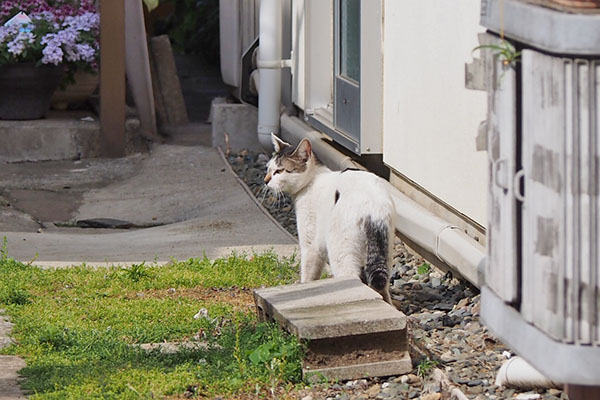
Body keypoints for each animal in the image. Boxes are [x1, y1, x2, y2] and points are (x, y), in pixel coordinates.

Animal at [264, 134, 396, 304]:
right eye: (269, 169)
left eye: (280, 171)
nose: (266, 180)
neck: (312, 180)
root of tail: (373, 209)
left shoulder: (311, 246)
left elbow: (308, 274)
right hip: (385, 254)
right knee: (383, 291)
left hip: (341, 254)